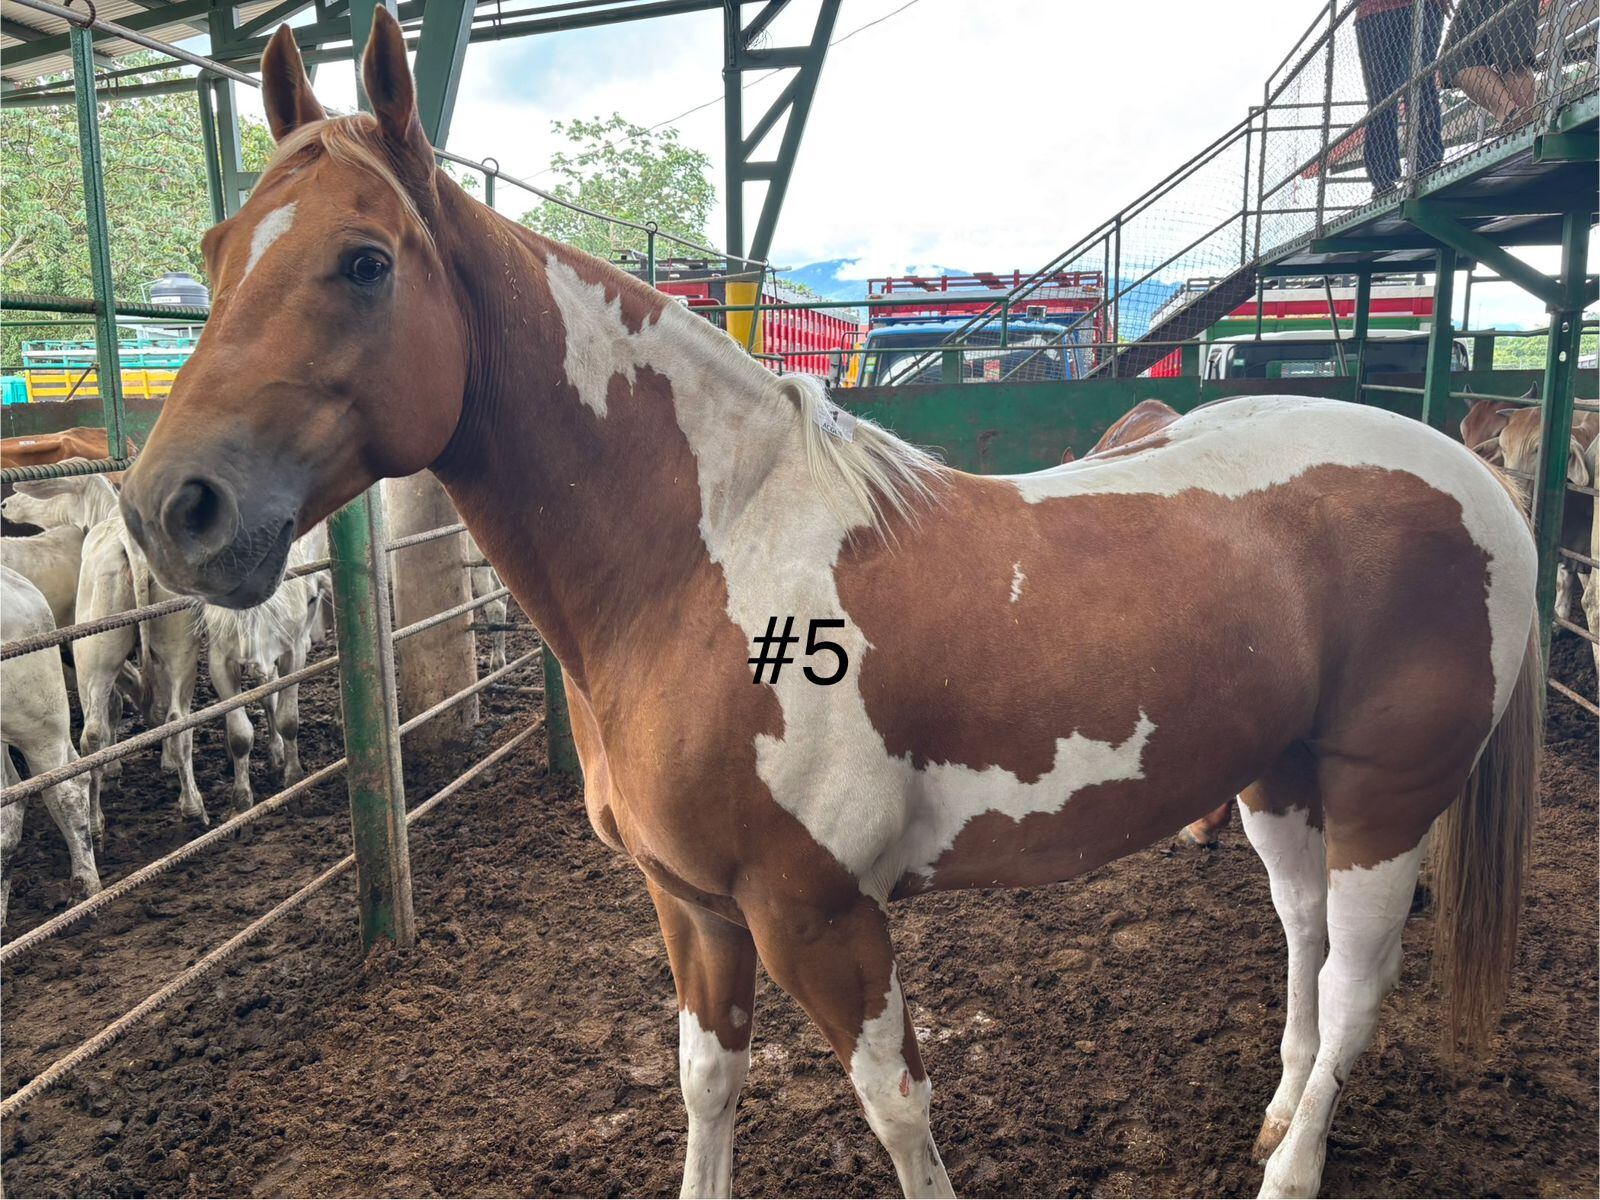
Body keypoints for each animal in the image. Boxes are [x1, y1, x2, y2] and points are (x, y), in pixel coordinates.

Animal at [120, 13, 1541, 1198]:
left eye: (363, 262)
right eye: (212, 254)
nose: (169, 509)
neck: (698, 569)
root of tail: (1477, 475)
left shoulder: (819, 916)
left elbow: (894, 1103)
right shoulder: (692, 909)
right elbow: (706, 1084)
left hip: (1383, 797)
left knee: (1355, 981)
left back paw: (1291, 1168)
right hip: (1281, 777)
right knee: (1303, 940)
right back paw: (1281, 1109)